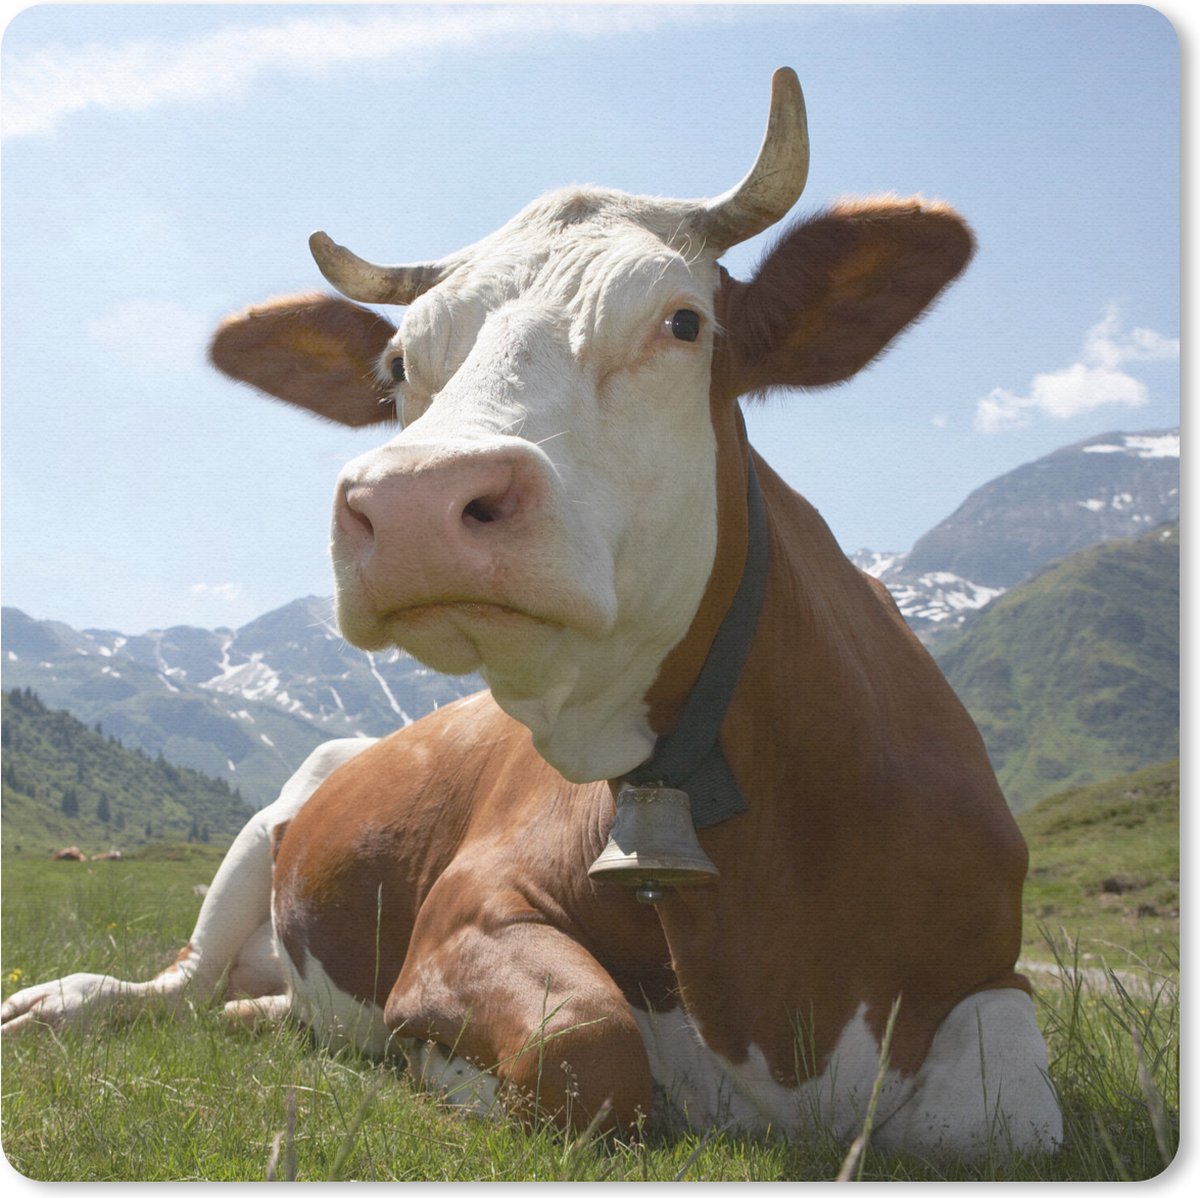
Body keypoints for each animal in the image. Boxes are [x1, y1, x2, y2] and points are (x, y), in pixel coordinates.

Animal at [1, 70, 1062, 1161]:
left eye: (684, 323)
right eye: (395, 367)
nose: (416, 501)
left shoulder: (992, 981)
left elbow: (1010, 1121)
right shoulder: (466, 910)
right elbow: (585, 1045)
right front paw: (436, 1068)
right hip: (263, 829)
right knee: (175, 983)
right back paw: (61, 1002)